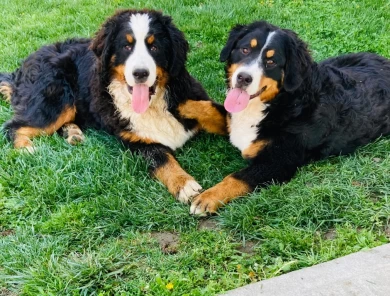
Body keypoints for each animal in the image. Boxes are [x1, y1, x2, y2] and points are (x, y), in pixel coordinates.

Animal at [0, 9, 227, 204]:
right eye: (126, 46)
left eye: (154, 47)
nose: (140, 73)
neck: (152, 105)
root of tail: (21, 68)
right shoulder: (136, 141)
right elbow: (162, 159)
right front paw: (183, 184)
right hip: (58, 100)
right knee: (13, 126)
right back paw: (27, 148)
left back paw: (73, 133)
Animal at [190, 20, 390, 215]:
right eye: (245, 49)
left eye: (271, 61)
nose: (243, 78)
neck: (280, 103)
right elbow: (208, 108)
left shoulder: (278, 161)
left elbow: (236, 177)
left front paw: (208, 198)